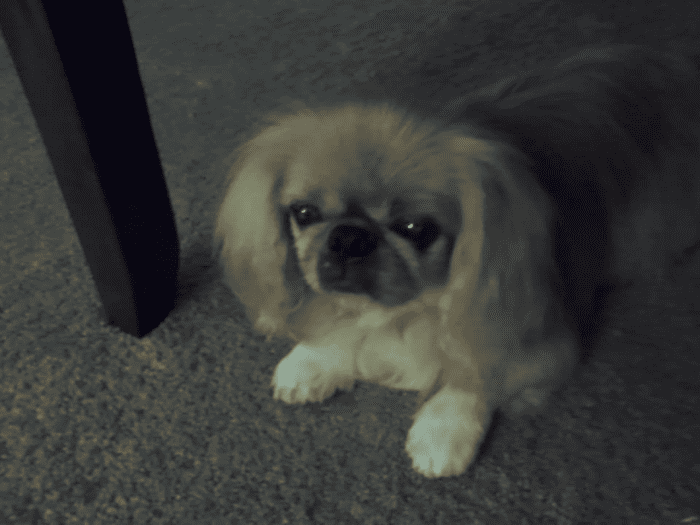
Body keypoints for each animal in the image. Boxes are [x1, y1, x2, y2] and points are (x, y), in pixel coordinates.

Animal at [213, 47, 700, 476]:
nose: (349, 236)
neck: (402, 311)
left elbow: (473, 372)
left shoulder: (521, 333)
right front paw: (315, 359)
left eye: (416, 229)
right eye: (303, 213)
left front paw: (444, 431)